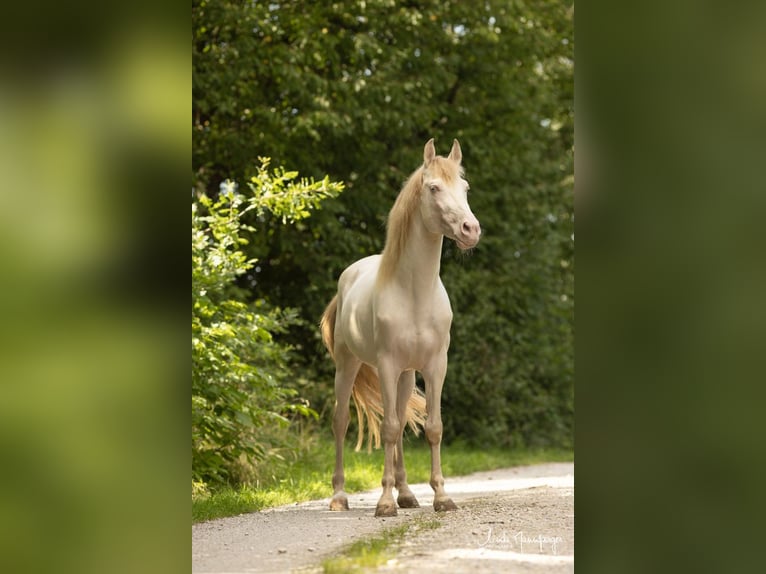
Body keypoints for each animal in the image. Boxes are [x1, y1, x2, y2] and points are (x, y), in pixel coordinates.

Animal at [320, 138, 481, 517]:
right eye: (434, 188)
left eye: (465, 187)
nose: (471, 231)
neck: (416, 293)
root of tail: (345, 280)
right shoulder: (387, 364)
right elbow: (390, 429)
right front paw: (383, 504)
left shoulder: (435, 365)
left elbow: (432, 427)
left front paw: (441, 497)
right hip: (349, 366)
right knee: (342, 422)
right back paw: (340, 496)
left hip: (406, 376)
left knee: (399, 418)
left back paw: (406, 494)